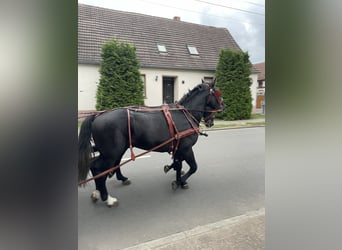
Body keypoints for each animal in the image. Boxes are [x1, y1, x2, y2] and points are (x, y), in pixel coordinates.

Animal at [78, 81, 223, 206]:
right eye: (218, 96)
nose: (223, 107)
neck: (185, 114)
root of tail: (97, 116)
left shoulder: (179, 148)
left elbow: (178, 164)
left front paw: (178, 179)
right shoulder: (186, 148)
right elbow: (193, 167)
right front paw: (180, 181)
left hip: (115, 150)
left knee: (101, 166)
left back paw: (102, 190)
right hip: (111, 153)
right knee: (98, 168)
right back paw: (107, 197)